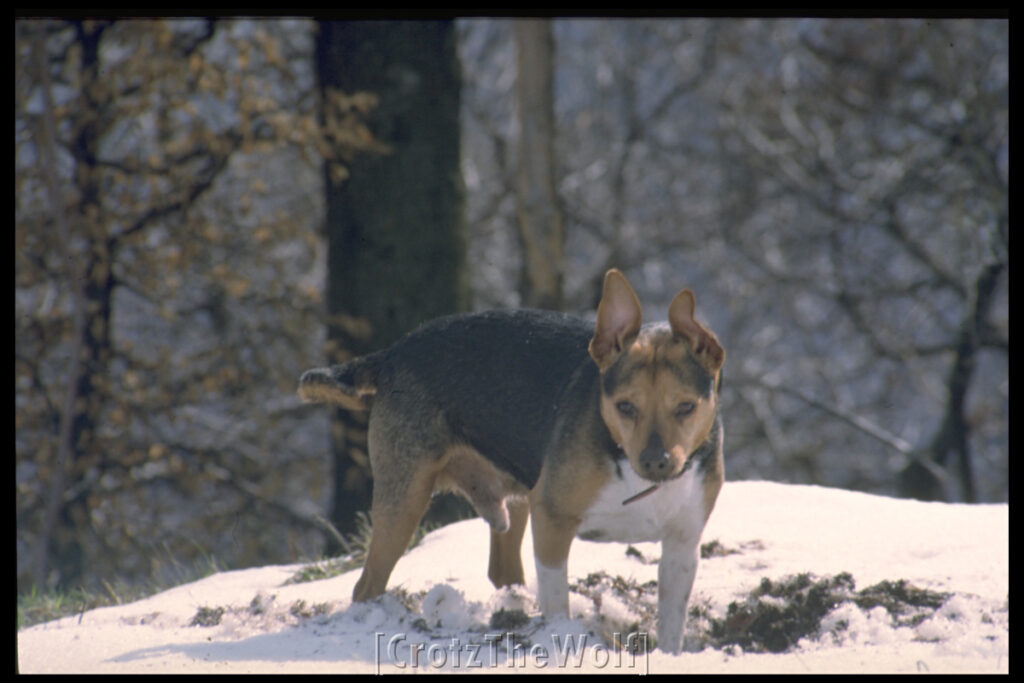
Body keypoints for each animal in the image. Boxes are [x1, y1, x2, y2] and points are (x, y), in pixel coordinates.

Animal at [299, 270, 724, 655]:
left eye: (686, 407)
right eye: (625, 407)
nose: (656, 462)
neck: (623, 457)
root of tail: (394, 352)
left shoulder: (682, 546)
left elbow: (672, 624)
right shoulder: (551, 519)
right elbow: (557, 602)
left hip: (515, 495)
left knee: (502, 568)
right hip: (405, 497)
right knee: (367, 583)